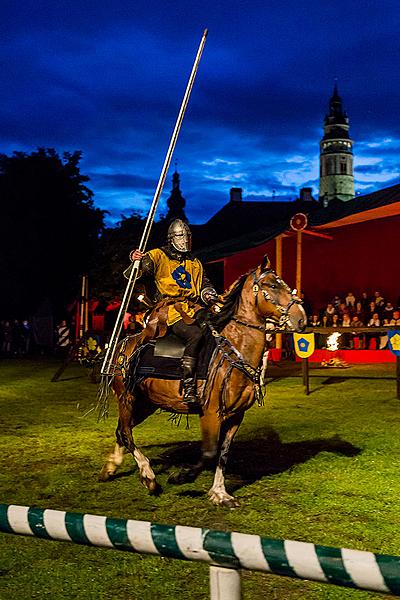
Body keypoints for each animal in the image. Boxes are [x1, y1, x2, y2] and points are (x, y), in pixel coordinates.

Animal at [98, 255, 304, 508]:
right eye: (273, 285)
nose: (301, 318)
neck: (236, 346)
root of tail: (122, 344)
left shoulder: (235, 415)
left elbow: (223, 453)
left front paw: (220, 493)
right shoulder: (211, 413)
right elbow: (208, 453)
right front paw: (182, 476)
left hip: (147, 403)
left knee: (121, 430)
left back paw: (111, 467)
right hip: (126, 397)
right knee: (126, 433)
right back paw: (148, 476)